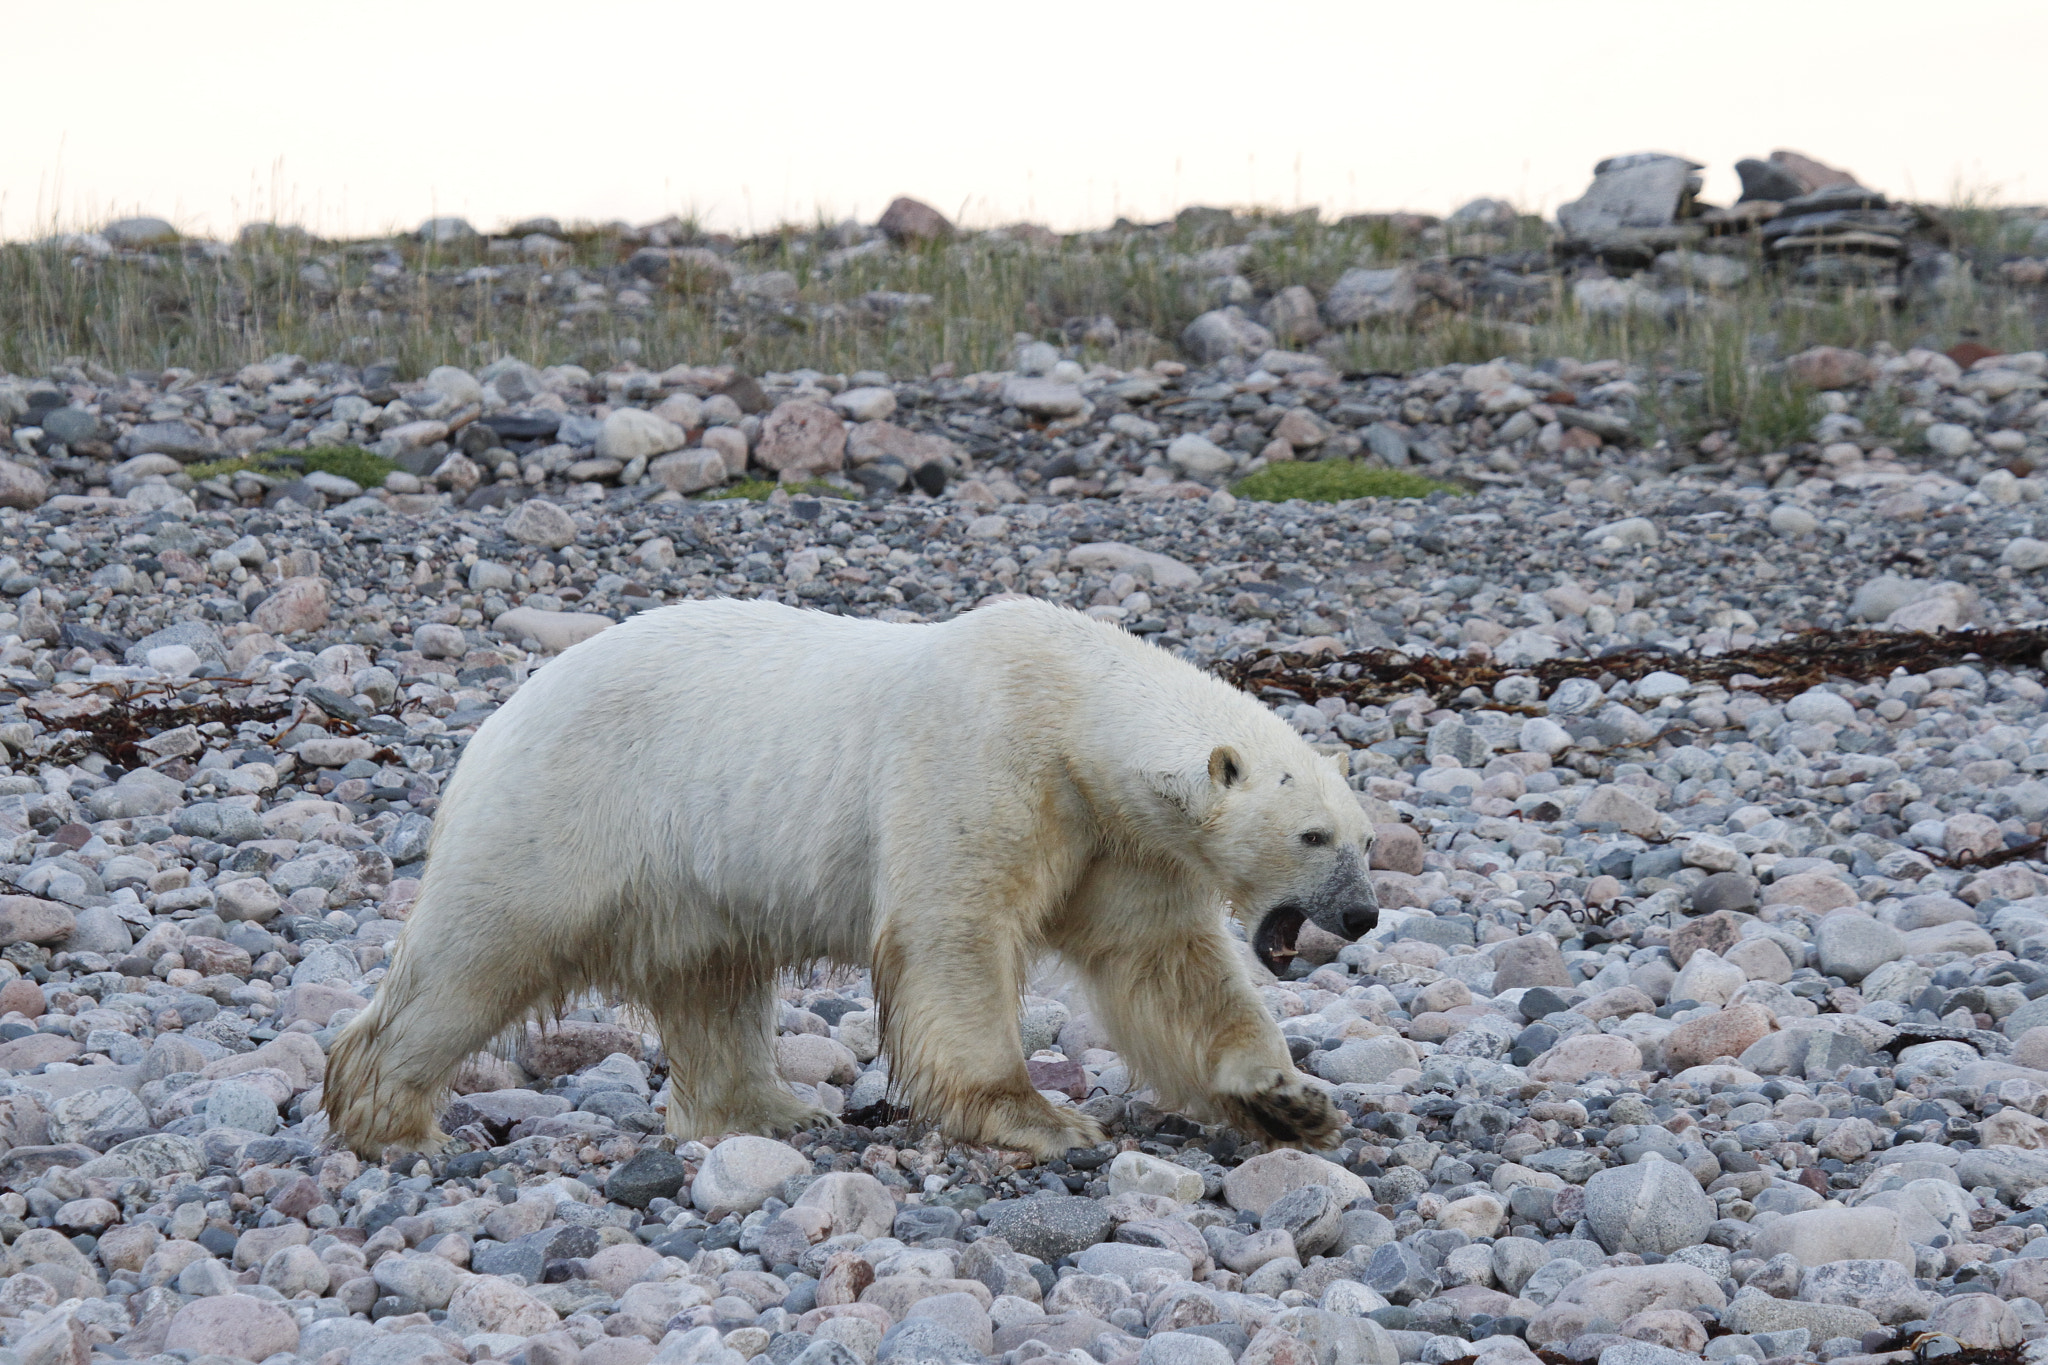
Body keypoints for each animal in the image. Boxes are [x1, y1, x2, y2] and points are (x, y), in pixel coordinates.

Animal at [323, 593, 1376, 1162]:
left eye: (1370, 836)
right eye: (1314, 834)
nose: (1364, 914)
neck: (1072, 709)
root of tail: (505, 710)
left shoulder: (1119, 839)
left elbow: (1166, 966)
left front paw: (1292, 1098)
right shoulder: (981, 762)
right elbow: (954, 934)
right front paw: (1041, 1120)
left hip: (689, 877)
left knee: (712, 982)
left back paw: (773, 1109)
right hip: (566, 809)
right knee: (479, 951)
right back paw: (390, 1117)